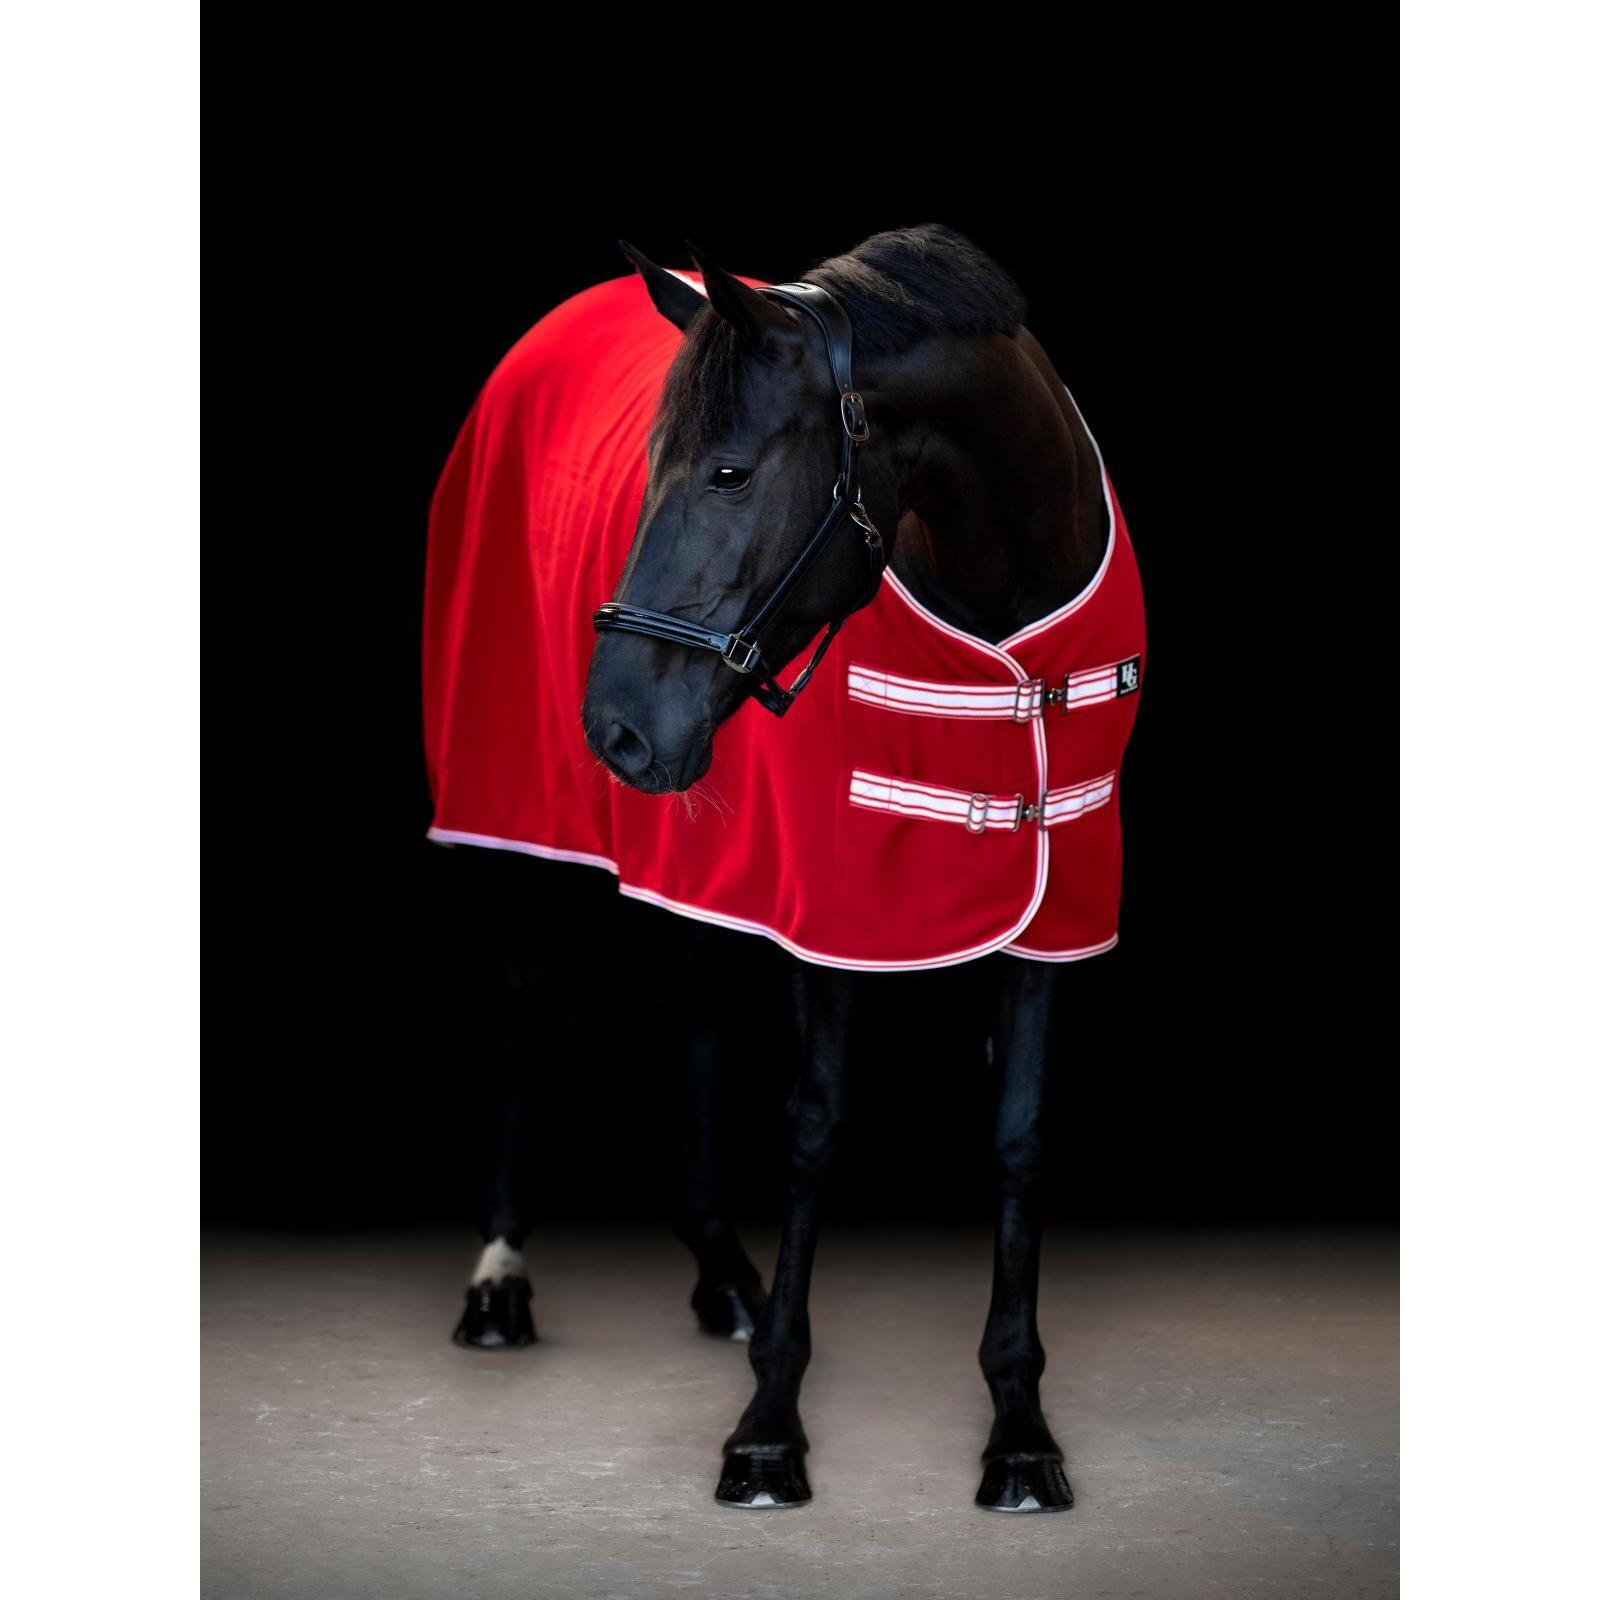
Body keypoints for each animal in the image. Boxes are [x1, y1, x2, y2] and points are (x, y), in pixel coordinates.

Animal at [422, 224, 1144, 1512]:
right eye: (652, 467)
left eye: (729, 473)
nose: (615, 727)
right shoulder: (833, 903)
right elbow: (813, 1126)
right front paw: (768, 1424)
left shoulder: (1057, 893)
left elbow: (1018, 1136)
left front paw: (1018, 1426)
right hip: (520, 811)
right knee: (524, 998)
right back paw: (499, 1281)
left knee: (697, 1008)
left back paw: (721, 1273)